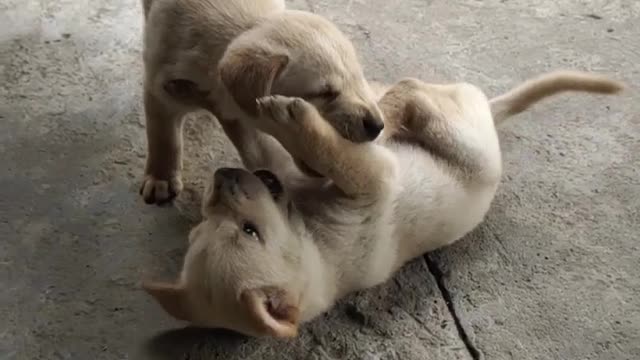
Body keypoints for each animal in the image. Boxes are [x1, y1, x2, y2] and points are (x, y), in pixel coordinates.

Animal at [140, 0, 384, 204]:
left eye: (358, 78)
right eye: (325, 92)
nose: (377, 126)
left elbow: (258, 147)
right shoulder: (161, 85)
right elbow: (164, 136)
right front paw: (161, 179)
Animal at [142, 69, 624, 338]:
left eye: (202, 226)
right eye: (249, 231)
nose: (221, 178)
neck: (313, 242)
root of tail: (488, 110)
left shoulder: (285, 167)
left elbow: (259, 136)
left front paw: (199, 91)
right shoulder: (372, 181)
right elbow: (335, 151)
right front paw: (291, 114)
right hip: (467, 143)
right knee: (420, 99)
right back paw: (392, 102)